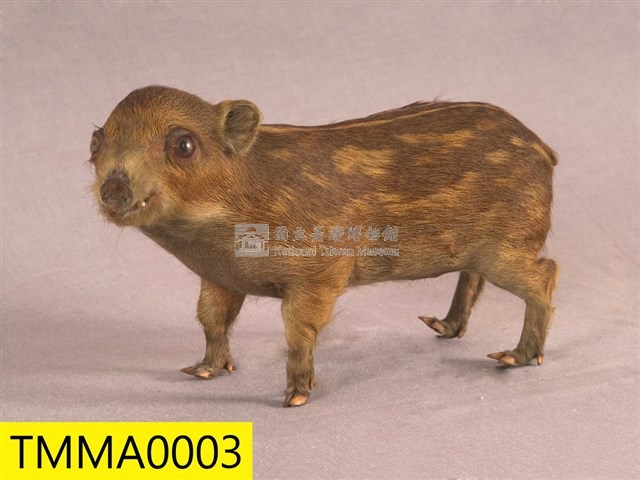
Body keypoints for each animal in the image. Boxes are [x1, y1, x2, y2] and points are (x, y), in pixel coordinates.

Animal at [90, 86, 558, 407]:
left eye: (183, 145)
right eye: (96, 141)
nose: (114, 187)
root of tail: (545, 149)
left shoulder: (320, 270)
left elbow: (299, 332)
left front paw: (293, 398)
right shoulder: (220, 277)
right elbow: (211, 320)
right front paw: (200, 372)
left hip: (510, 243)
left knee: (546, 274)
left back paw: (512, 357)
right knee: (473, 278)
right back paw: (439, 326)